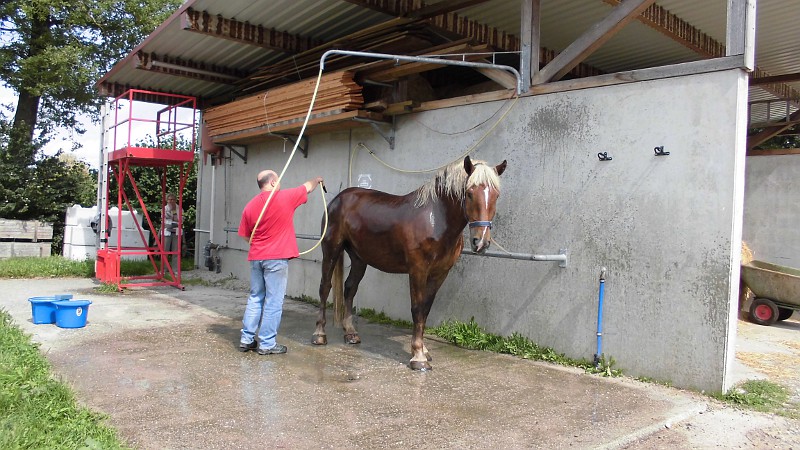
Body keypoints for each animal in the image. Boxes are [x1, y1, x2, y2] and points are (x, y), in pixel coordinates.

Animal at [310, 155, 506, 370]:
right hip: (331, 250)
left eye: (496, 195)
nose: (481, 242)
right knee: (324, 287)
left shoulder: (440, 273)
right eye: (470, 194)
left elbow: (426, 309)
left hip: (359, 258)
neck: (436, 220)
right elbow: (417, 308)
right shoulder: (418, 270)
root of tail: (338, 199)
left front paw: (424, 351)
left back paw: (351, 333)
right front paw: (418, 357)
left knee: (349, 288)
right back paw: (319, 335)